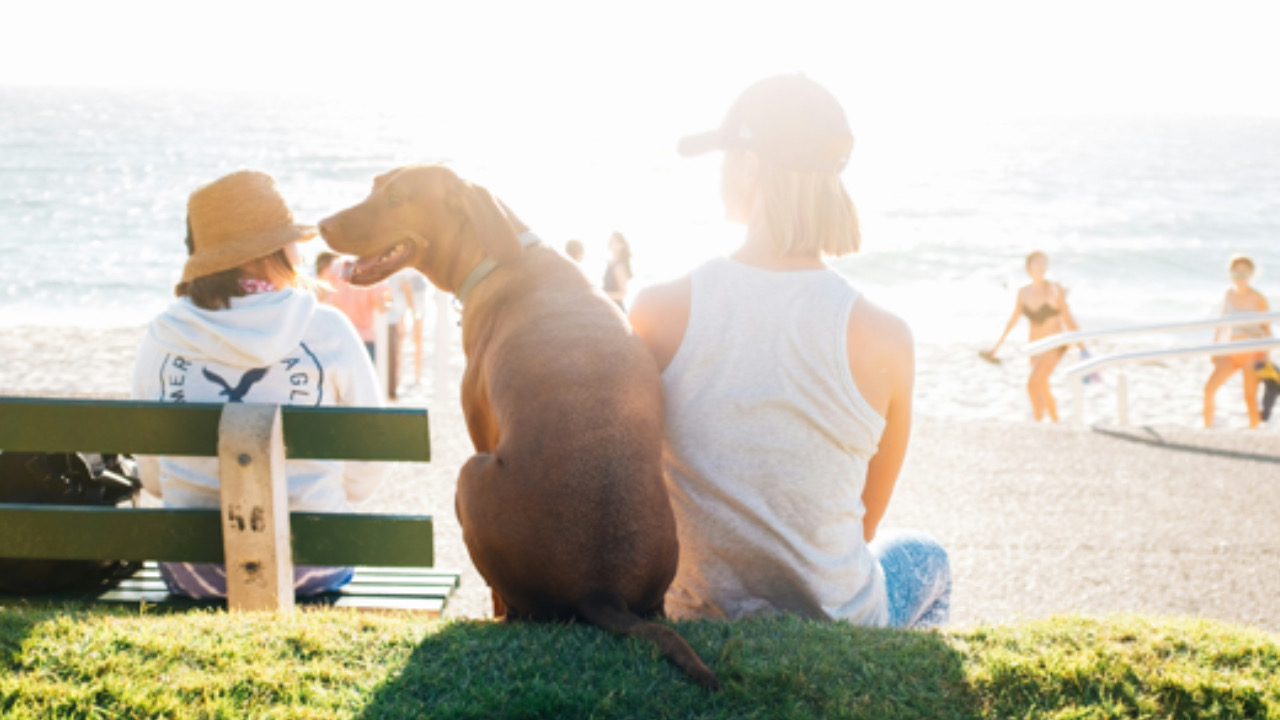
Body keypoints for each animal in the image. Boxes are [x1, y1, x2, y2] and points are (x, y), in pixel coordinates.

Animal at [320, 165, 721, 686]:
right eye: (374, 187)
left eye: (397, 198)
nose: (322, 224)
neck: (501, 255)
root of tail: (601, 589)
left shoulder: (480, 430)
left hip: (470, 475)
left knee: (513, 607)